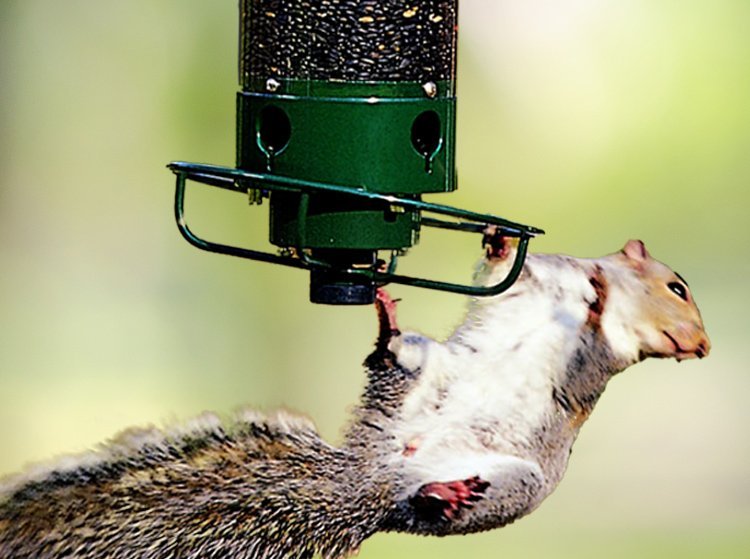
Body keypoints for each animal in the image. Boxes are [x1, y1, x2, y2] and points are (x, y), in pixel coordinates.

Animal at [0, 236, 710, 559]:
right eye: (676, 286)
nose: (698, 346)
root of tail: (374, 481)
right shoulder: (539, 278)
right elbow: (512, 272)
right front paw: (510, 245)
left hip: (515, 485)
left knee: (425, 509)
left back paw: (446, 495)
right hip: (418, 376)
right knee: (391, 360)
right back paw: (389, 327)